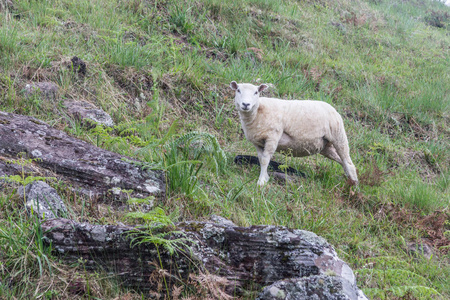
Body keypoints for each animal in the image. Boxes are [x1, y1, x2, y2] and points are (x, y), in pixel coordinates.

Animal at [229, 81, 358, 186]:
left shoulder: (273, 137)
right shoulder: (257, 142)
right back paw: (350, 181)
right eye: (238, 90)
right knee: (342, 162)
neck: (258, 112)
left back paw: (354, 187)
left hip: (338, 135)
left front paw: (261, 182)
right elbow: (261, 159)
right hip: (326, 146)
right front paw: (265, 177)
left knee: (348, 163)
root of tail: (332, 108)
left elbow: (265, 160)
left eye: (256, 92)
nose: (246, 104)